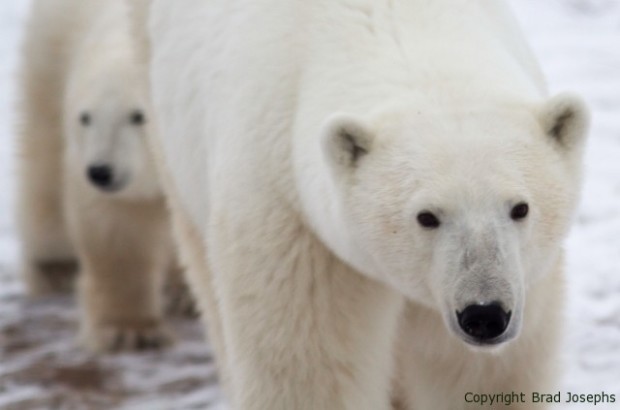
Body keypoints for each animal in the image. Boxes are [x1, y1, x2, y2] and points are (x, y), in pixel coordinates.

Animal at [17, 0, 178, 352]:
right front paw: (129, 331)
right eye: (85, 117)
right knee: (42, 151)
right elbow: (115, 228)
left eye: (138, 116)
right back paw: (55, 266)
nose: (101, 171)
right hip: (49, 47)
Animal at [133, 0, 588, 408]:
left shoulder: (528, 277)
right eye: (426, 216)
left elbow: (483, 374)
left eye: (520, 208)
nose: (485, 315)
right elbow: (309, 366)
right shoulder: (291, 214)